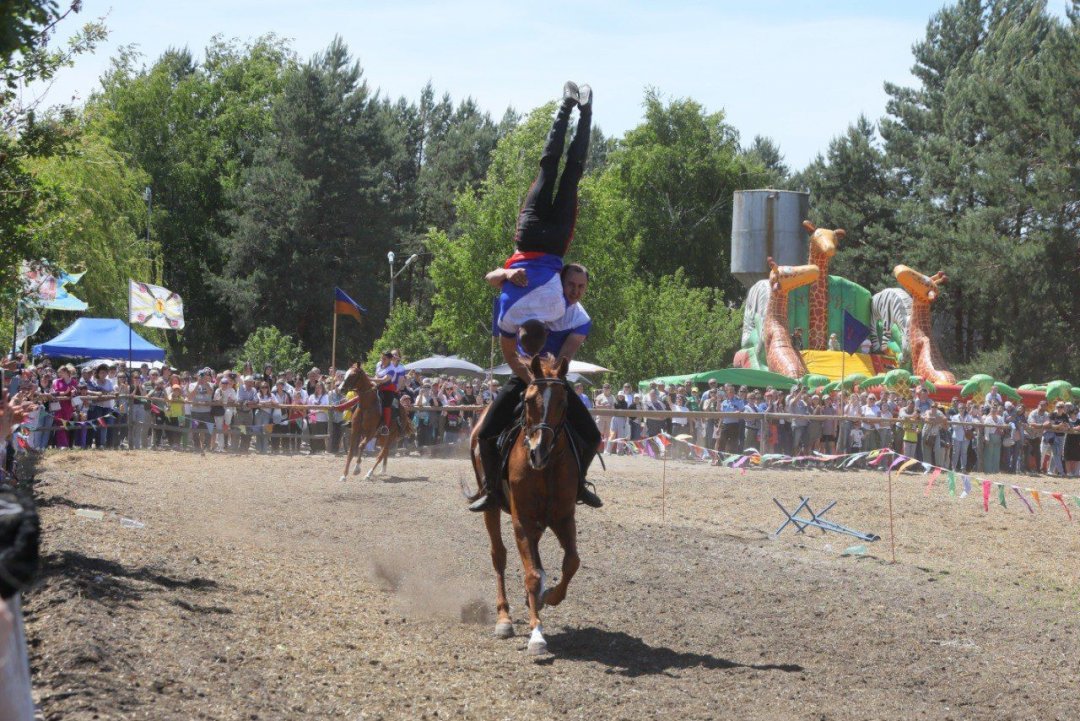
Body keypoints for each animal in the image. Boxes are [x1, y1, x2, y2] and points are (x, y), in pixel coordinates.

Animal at [466, 354, 578, 660]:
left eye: (563, 402)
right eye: (527, 401)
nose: (538, 452)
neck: (546, 470)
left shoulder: (564, 518)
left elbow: (571, 563)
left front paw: (550, 596)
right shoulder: (522, 520)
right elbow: (531, 575)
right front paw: (536, 634)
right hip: (492, 508)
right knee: (499, 556)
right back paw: (504, 618)